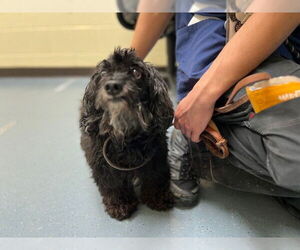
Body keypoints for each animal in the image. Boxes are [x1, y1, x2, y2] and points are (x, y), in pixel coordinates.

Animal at [79, 47, 173, 220]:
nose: (112, 86)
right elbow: (113, 185)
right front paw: (120, 205)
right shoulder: (103, 165)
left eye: (136, 72)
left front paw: (158, 199)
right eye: (103, 73)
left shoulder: (156, 158)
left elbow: (155, 179)